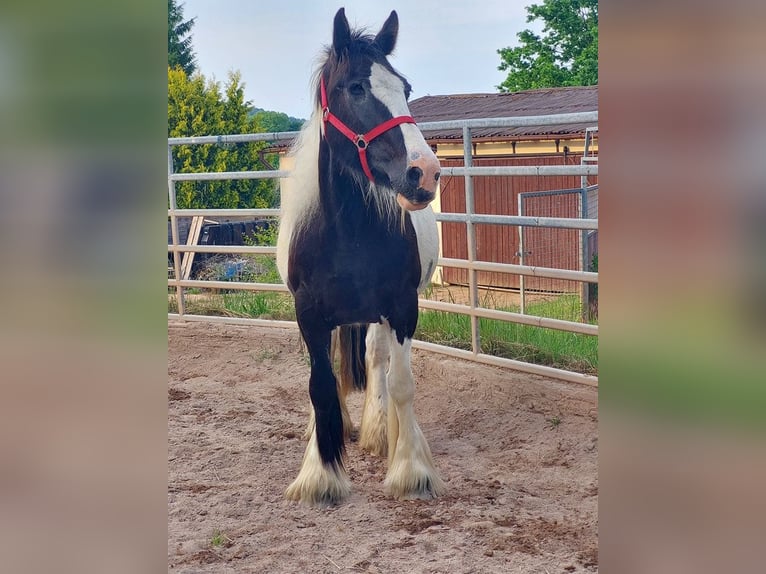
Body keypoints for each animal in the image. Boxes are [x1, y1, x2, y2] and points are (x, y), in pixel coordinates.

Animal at [276, 6, 444, 506]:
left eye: (405, 89)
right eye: (355, 88)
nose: (424, 172)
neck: (346, 235)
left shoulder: (402, 308)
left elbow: (401, 383)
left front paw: (410, 469)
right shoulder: (309, 314)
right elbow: (320, 387)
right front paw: (320, 472)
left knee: (376, 361)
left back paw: (377, 429)